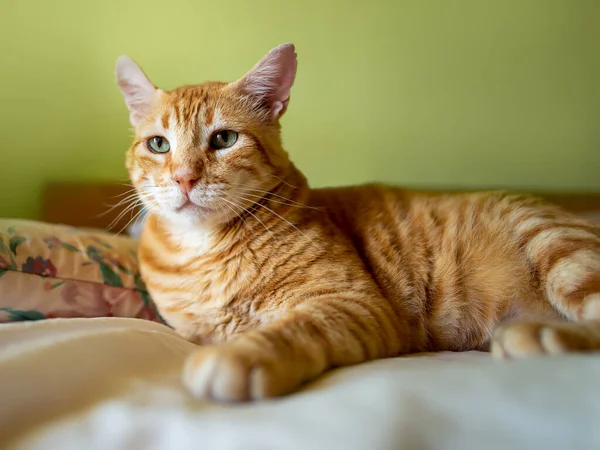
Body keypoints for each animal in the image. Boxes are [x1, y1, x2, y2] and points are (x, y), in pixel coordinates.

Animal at [116, 43, 600, 400]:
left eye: (224, 139)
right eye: (158, 144)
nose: (184, 177)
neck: (205, 251)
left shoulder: (352, 302)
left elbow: (292, 328)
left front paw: (241, 356)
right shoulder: (193, 329)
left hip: (558, 245)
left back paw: (539, 336)